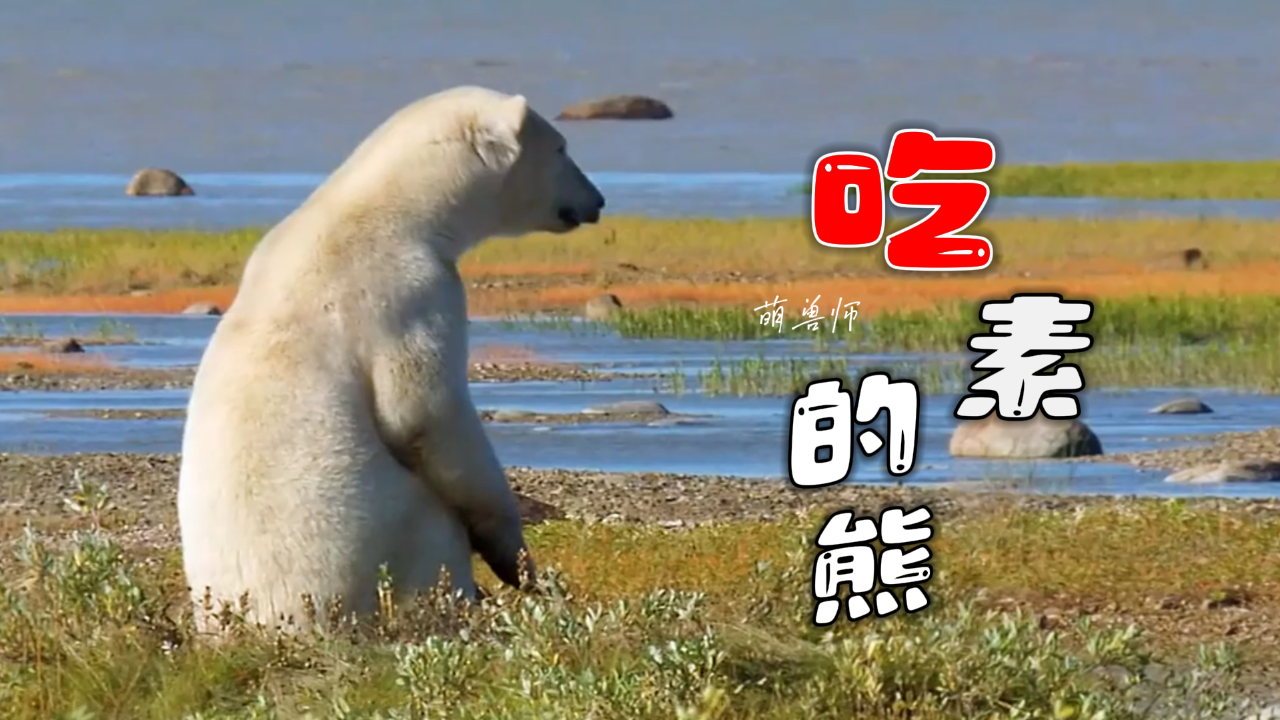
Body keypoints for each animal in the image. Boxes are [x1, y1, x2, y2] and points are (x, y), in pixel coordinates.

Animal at [176, 85, 606, 633]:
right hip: (389, 531)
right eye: (561, 148)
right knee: (433, 536)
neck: (382, 209)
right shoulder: (410, 291)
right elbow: (424, 413)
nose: (597, 200)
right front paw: (518, 561)